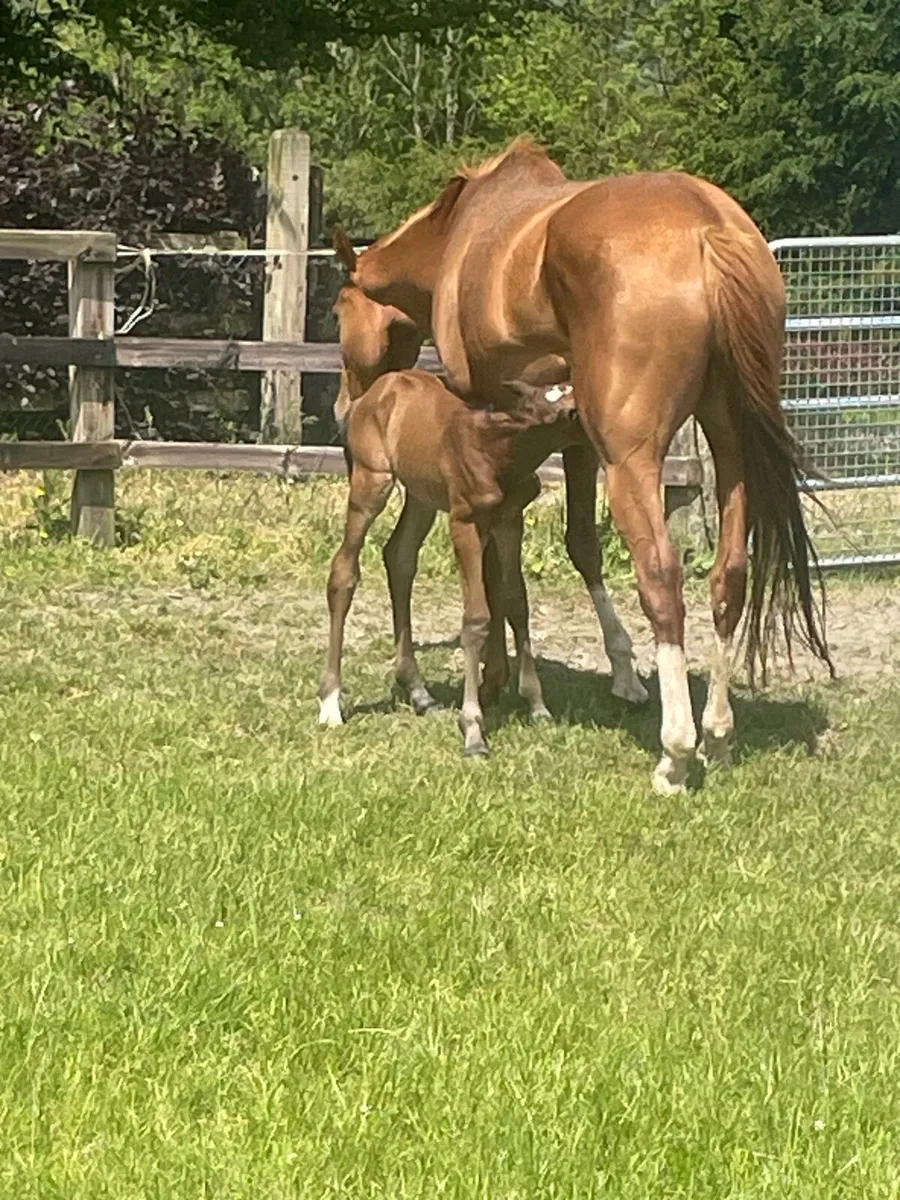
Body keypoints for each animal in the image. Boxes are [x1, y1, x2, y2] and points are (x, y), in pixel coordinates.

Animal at [319, 366, 582, 757]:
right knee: (344, 572)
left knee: (399, 556)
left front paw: (537, 706)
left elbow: (516, 602)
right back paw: (330, 702)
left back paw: (418, 691)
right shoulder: (465, 524)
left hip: (421, 495)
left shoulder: (509, 521)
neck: (497, 454)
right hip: (371, 481)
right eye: (566, 413)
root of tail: (374, 392)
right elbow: (475, 619)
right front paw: (473, 730)